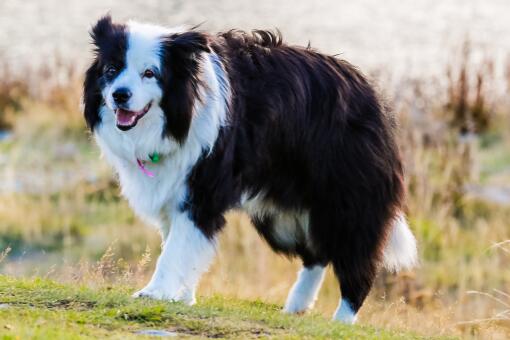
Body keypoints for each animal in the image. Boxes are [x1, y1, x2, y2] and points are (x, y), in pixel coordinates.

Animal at [83, 15, 416, 324]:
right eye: (111, 70)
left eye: (150, 73)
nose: (120, 95)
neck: (179, 114)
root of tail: (374, 96)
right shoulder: (172, 190)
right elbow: (183, 246)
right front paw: (183, 297)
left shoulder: (202, 188)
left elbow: (176, 248)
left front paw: (154, 293)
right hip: (280, 212)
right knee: (317, 253)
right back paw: (296, 306)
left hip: (346, 197)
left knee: (355, 258)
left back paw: (342, 320)